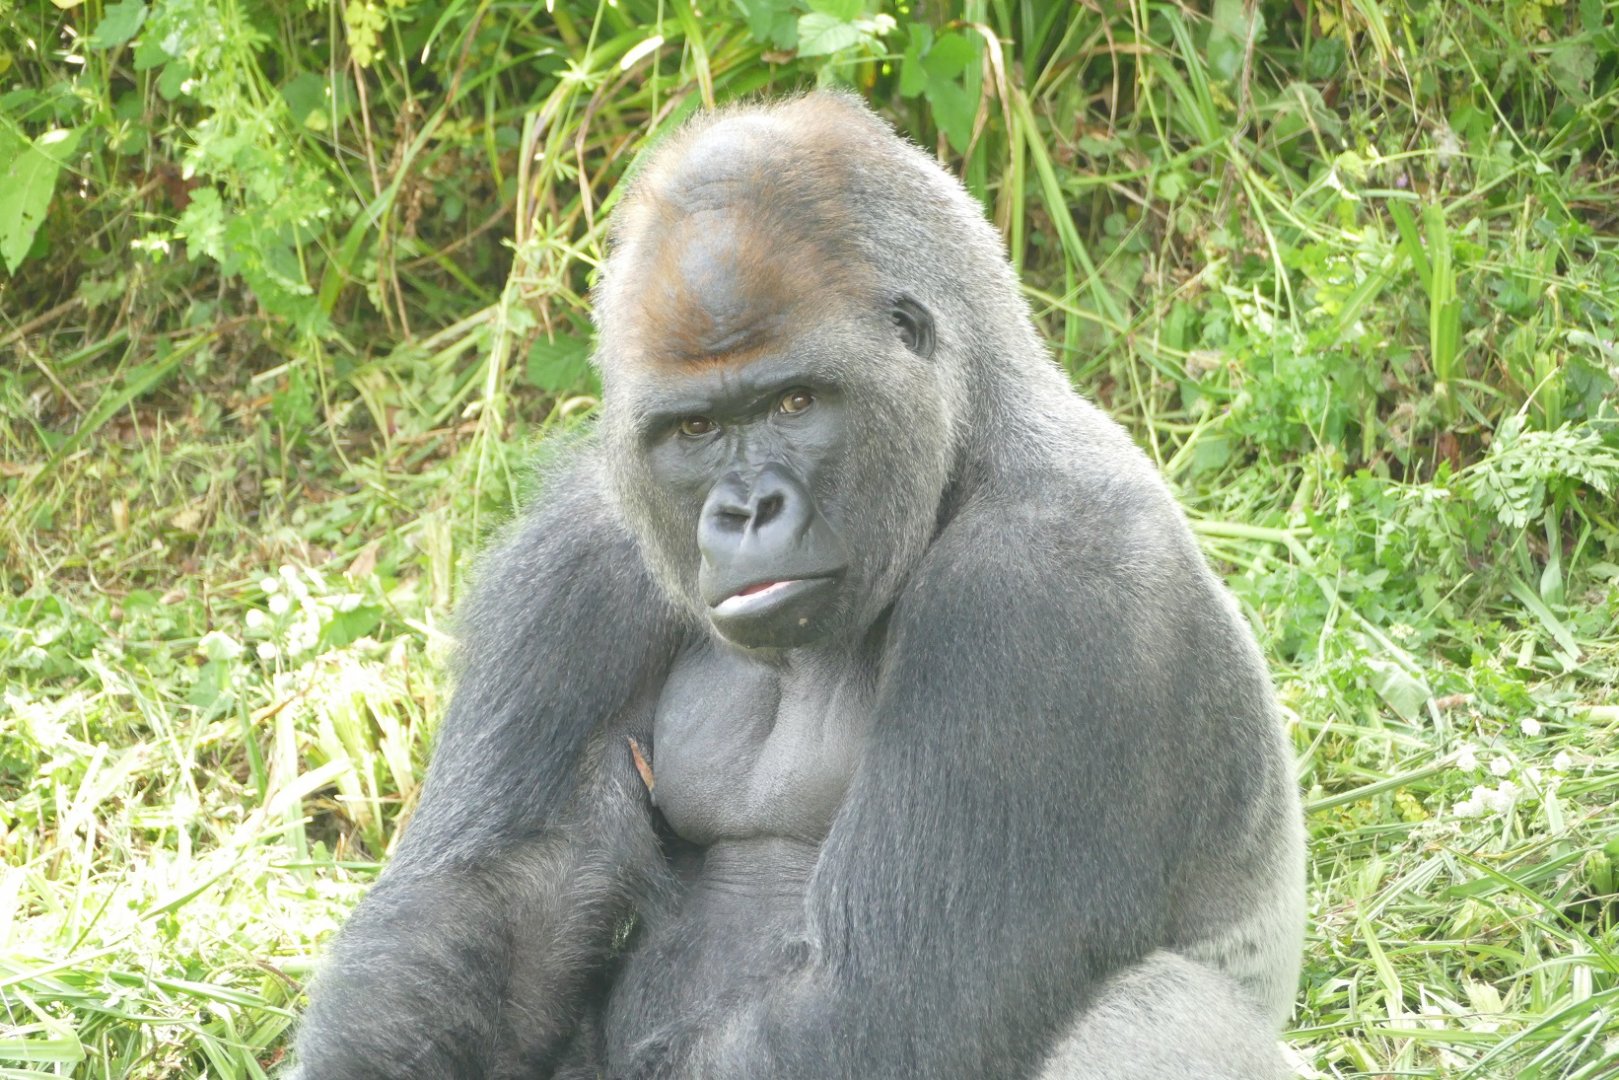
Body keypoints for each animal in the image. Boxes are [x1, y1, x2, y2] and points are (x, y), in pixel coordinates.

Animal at [290, 91, 1305, 1080]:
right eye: (695, 429)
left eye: (794, 402)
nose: (747, 511)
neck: (971, 441)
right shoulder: (576, 553)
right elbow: (473, 906)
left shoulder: (1049, 587)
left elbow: (868, 1006)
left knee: (1139, 1013)